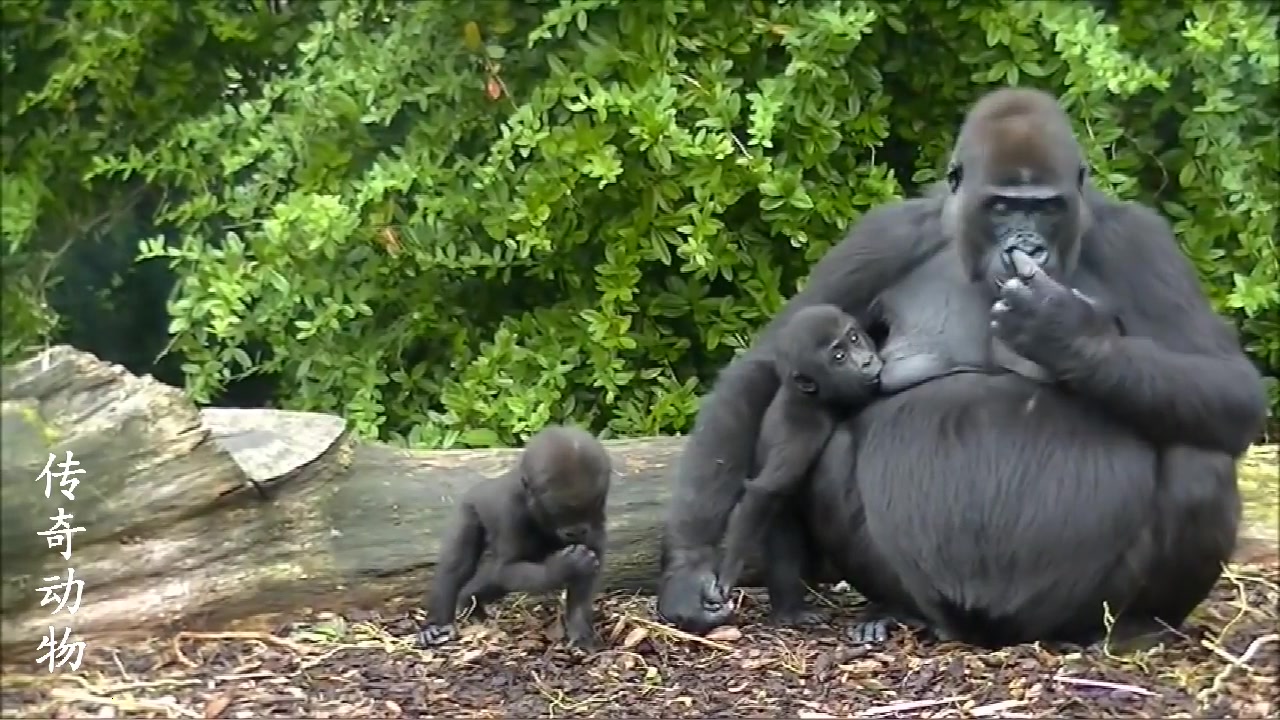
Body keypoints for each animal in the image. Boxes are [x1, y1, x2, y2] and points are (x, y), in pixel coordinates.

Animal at [412, 422, 606, 648]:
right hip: (468, 508)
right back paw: (437, 623)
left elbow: (591, 561)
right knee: (459, 565)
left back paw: (470, 601)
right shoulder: (511, 508)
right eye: (558, 511)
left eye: (591, 506)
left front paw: (579, 625)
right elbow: (507, 568)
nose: (575, 531)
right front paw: (564, 568)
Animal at [660, 87, 1269, 648]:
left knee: (1198, 459)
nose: (1029, 247)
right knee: (830, 449)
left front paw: (1066, 332)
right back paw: (894, 609)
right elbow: (767, 366)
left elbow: (1232, 385)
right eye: (1002, 206)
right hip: (930, 595)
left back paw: (1137, 625)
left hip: (1070, 611)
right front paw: (688, 567)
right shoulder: (886, 235)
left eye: (1046, 207)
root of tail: (988, 632)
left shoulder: (1138, 239)